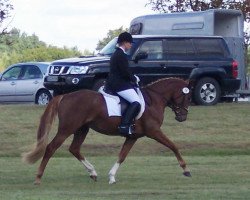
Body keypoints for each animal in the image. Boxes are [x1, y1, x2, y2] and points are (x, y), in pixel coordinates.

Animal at [22, 76, 192, 184]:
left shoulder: (133, 136)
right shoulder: (154, 132)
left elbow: (122, 156)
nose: (182, 117)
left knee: (74, 148)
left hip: (82, 129)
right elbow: (173, 146)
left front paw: (111, 177)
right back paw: (38, 177)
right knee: (51, 148)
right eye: (187, 97)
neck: (155, 99)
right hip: (67, 129)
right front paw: (185, 169)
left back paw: (93, 172)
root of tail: (65, 96)